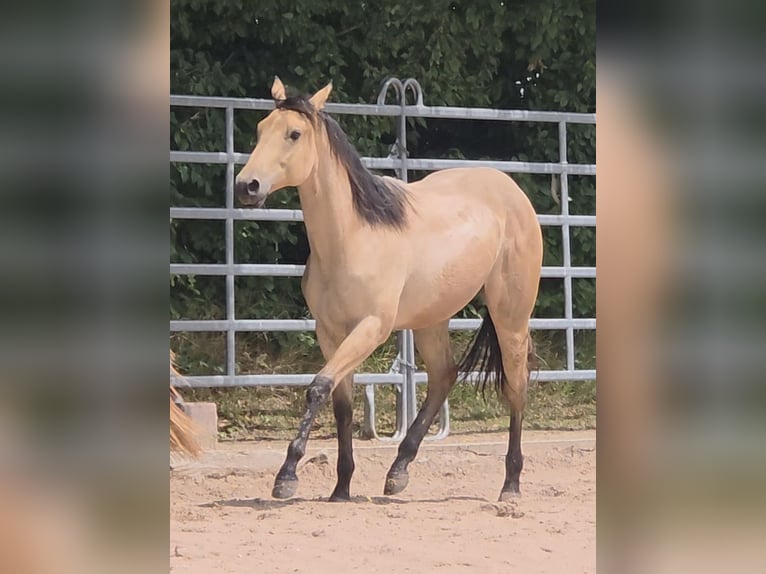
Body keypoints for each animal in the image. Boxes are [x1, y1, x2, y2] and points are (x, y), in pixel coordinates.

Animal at [235, 77, 542, 502]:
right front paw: (341, 487)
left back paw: (510, 485)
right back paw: (398, 471)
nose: (246, 186)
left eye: (294, 134)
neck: (352, 238)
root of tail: (512, 191)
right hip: (432, 319)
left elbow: (318, 388)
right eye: (261, 129)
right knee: (444, 375)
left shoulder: (371, 327)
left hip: (510, 315)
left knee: (516, 385)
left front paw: (287, 476)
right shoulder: (330, 332)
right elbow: (341, 403)